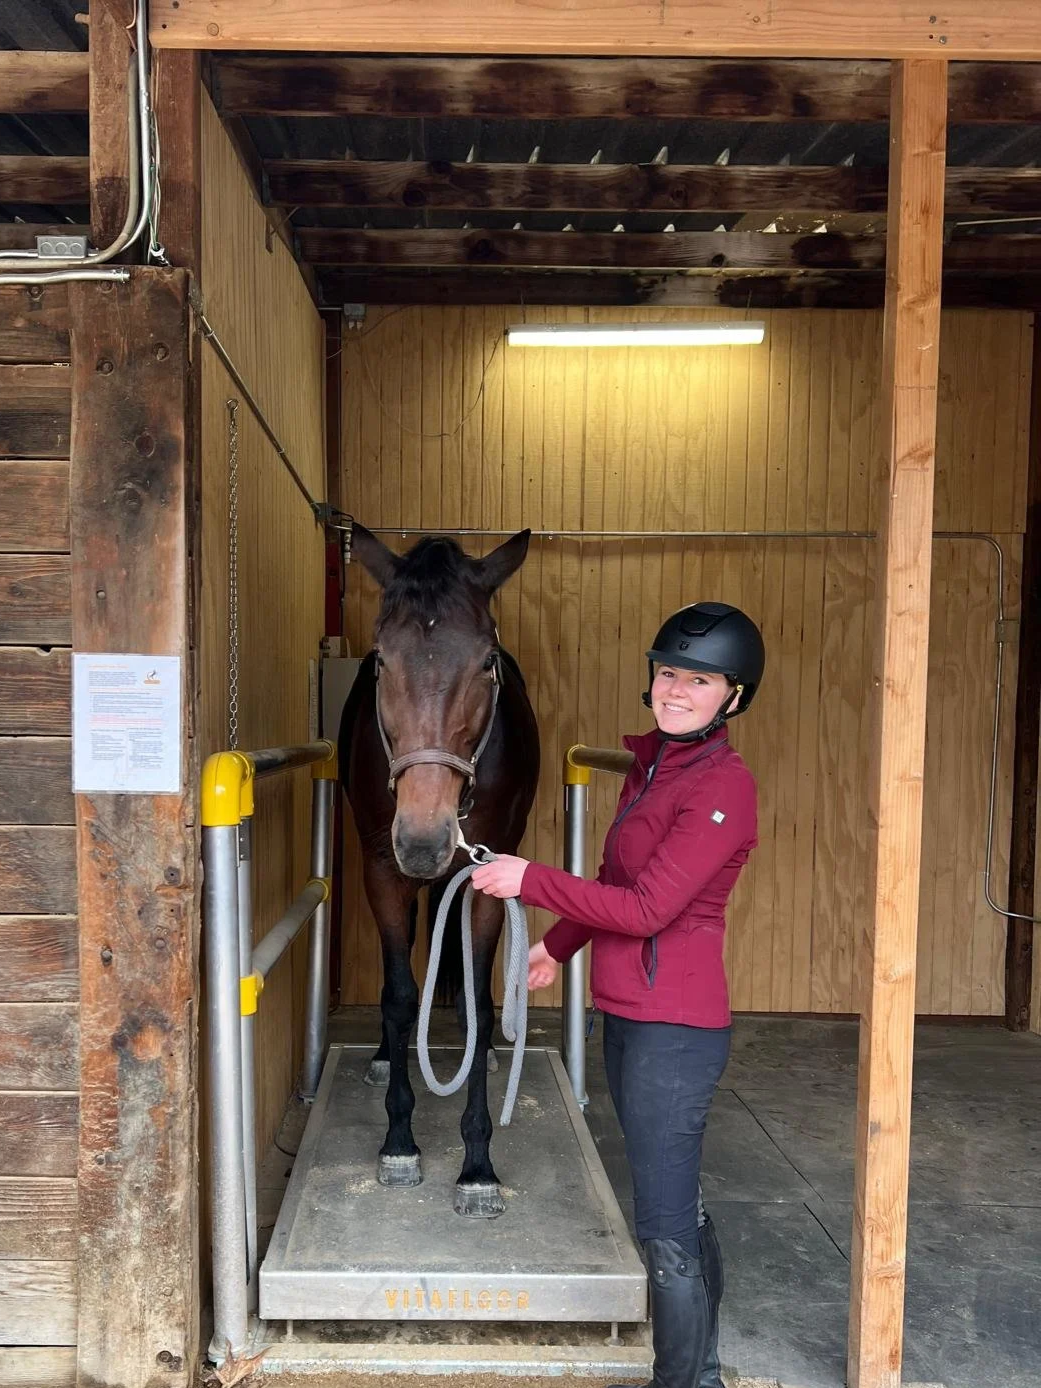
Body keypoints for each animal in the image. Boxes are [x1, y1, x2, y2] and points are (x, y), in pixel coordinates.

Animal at [337, 523, 540, 1218]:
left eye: (486, 661)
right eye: (380, 660)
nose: (425, 839)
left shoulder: (490, 879)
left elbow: (478, 1003)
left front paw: (477, 1166)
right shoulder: (383, 872)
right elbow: (400, 997)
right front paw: (400, 1140)